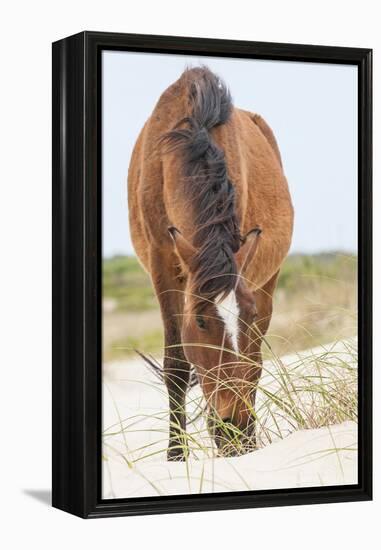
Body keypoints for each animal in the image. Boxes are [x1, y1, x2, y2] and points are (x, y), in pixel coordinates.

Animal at [127, 66, 290, 462]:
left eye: (246, 315)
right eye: (201, 322)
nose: (234, 424)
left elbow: (248, 363)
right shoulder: (162, 261)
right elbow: (176, 365)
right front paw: (175, 456)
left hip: (268, 281)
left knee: (255, 361)